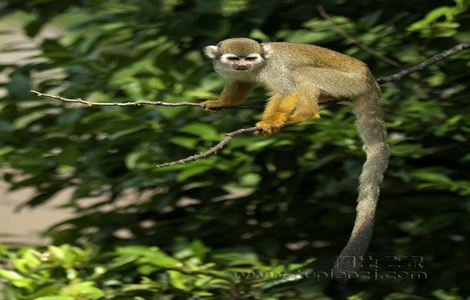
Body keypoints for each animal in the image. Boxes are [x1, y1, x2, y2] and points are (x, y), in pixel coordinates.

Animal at [204, 38, 392, 278]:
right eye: (235, 59)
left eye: (250, 58)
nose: (243, 65)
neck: (257, 67)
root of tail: (369, 78)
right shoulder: (235, 73)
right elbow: (240, 85)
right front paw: (221, 102)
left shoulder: (274, 69)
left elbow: (287, 90)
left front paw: (271, 121)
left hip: (348, 82)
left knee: (301, 73)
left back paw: (306, 114)